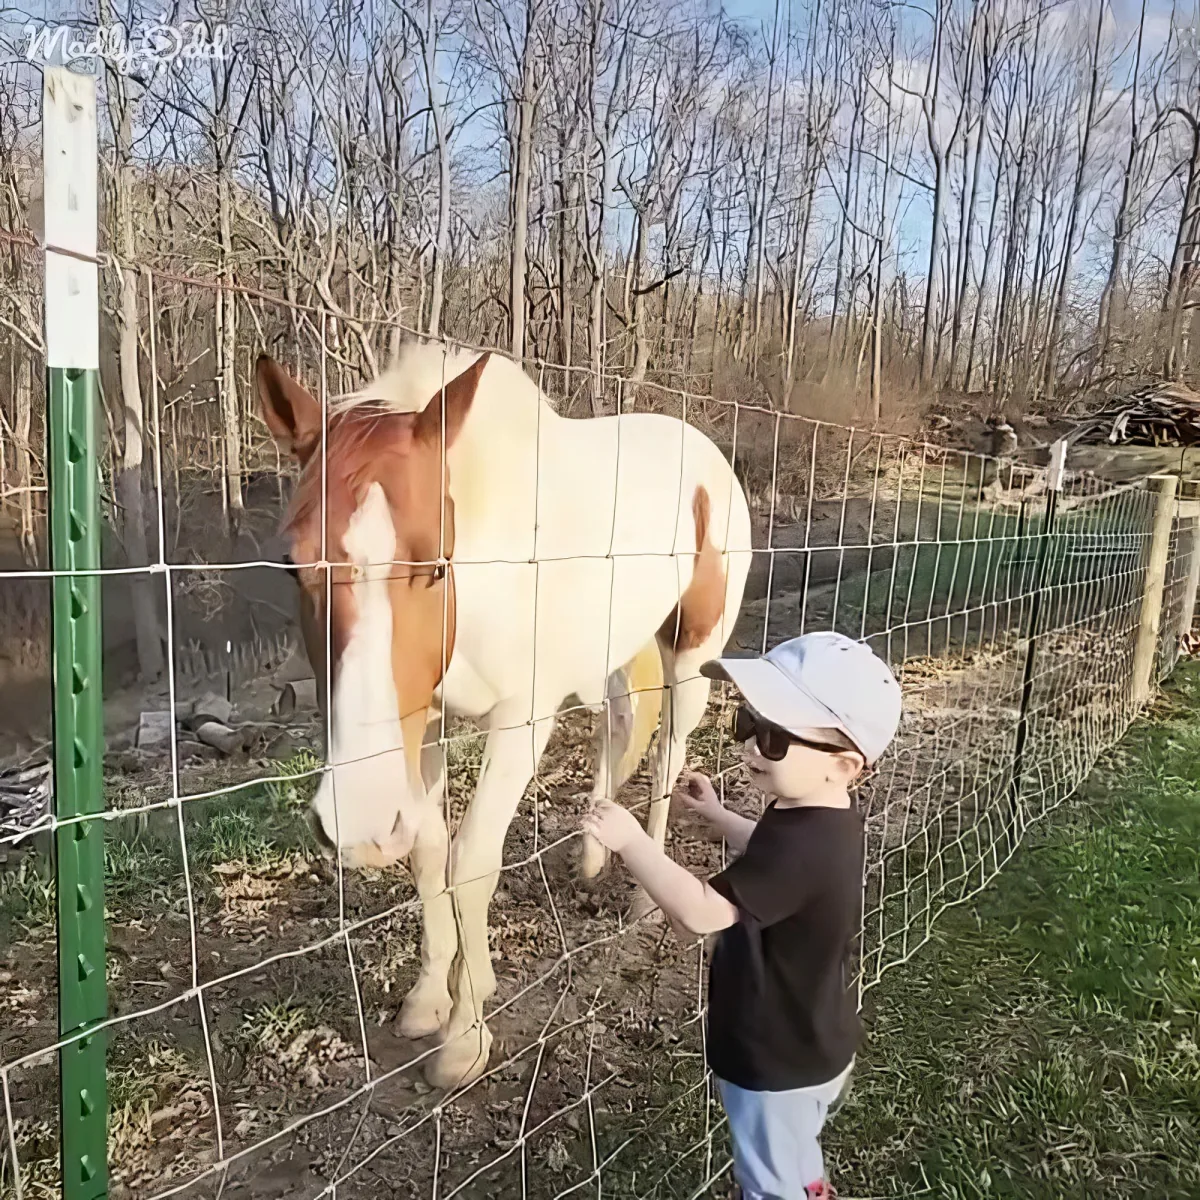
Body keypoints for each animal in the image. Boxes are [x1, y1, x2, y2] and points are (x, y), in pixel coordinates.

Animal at [255, 341, 752, 1089]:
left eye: (437, 562)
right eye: (292, 566)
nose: (359, 826)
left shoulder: (521, 721)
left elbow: (472, 862)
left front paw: (465, 1034)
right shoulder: (423, 722)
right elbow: (429, 852)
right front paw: (427, 1000)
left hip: (692, 653)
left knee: (669, 752)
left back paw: (646, 896)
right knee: (618, 725)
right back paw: (592, 851)